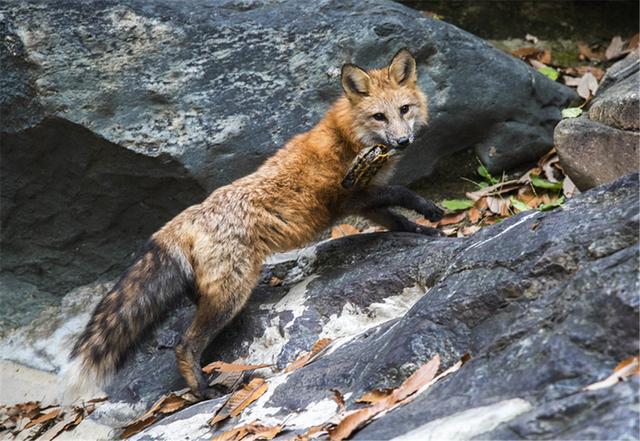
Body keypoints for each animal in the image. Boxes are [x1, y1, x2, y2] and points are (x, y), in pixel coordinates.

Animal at [66, 49, 444, 398]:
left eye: (404, 110)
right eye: (379, 116)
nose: (403, 141)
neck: (346, 137)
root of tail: (180, 221)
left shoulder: (364, 205)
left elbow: (396, 219)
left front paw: (427, 231)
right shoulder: (350, 196)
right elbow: (402, 193)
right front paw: (431, 210)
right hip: (230, 294)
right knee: (185, 344)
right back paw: (202, 389)